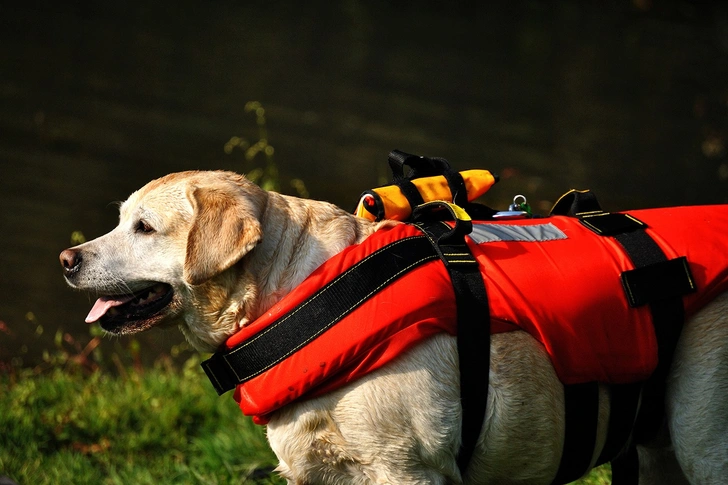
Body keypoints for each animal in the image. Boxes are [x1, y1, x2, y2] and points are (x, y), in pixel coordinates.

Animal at [61, 169, 728, 480]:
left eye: (144, 228)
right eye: (120, 220)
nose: (67, 259)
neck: (298, 288)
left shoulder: (408, 469)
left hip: (702, 441)